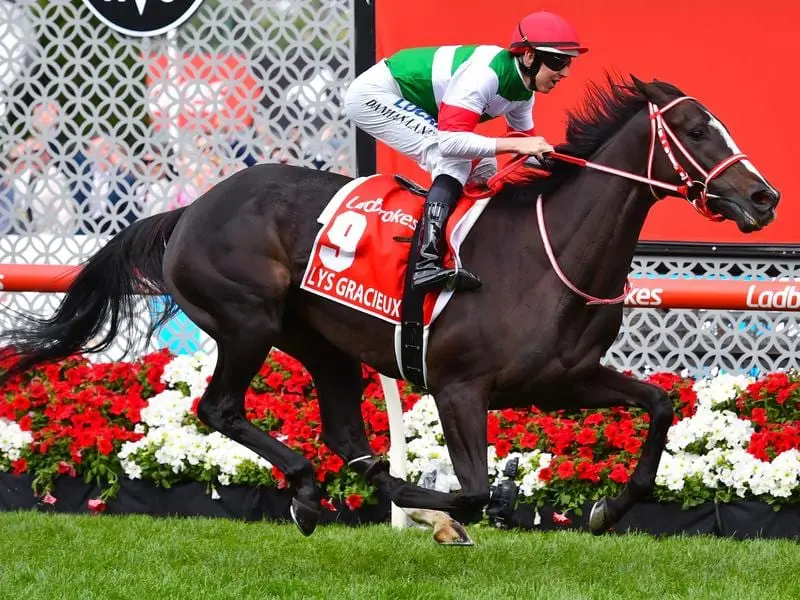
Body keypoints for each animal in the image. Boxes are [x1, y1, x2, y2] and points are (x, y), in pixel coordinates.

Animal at [0, 74, 780, 540]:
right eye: (696, 130)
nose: (765, 196)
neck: (549, 253)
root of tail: (190, 209)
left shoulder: (567, 379)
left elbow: (659, 405)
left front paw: (605, 508)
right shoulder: (460, 387)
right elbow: (471, 491)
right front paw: (466, 510)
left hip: (321, 343)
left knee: (346, 434)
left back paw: (327, 487)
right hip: (248, 321)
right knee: (221, 409)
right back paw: (317, 485)